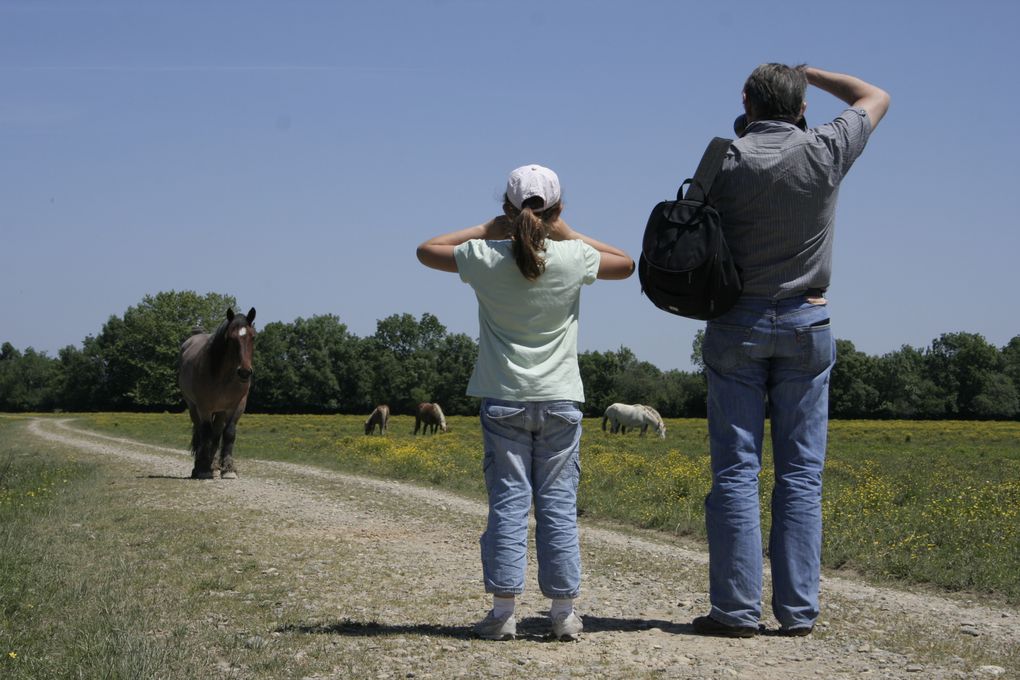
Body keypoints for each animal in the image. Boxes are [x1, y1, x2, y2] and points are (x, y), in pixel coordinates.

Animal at [177, 307, 255, 479]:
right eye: (231, 338)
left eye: (253, 337)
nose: (244, 372)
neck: (224, 376)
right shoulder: (204, 407)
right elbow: (206, 433)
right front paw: (203, 469)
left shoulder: (237, 406)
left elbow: (229, 434)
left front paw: (229, 469)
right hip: (194, 407)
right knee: (201, 432)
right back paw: (200, 466)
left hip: (220, 411)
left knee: (217, 433)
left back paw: (214, 466)